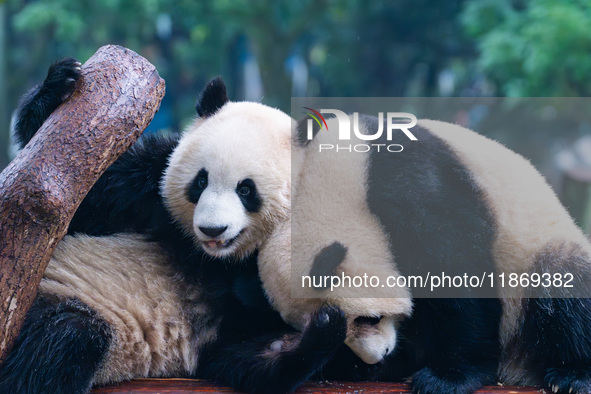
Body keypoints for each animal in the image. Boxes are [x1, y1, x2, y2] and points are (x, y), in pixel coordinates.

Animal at [260, 114, 591, 394]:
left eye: (368, 319)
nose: (377, 357)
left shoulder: (413, 186)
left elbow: (455, 272)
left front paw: (447, 377)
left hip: (537, 254)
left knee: (561, 284)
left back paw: (572, 375)